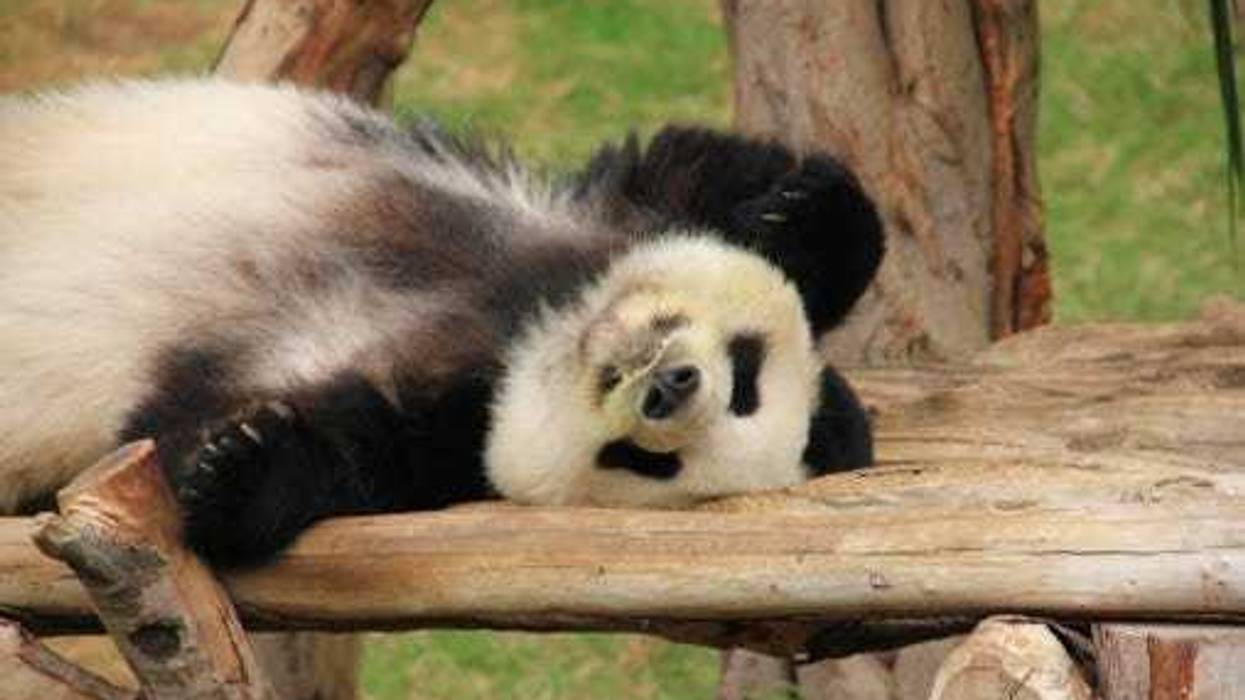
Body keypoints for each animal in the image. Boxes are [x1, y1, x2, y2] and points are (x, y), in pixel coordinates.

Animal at [0, 79, 883, 565]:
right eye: (746, 377)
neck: (520, 331)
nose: (668, 389)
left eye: (650, 464)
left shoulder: (436, 441)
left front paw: (233, 467)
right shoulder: (600, 204)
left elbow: (325, 454)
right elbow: (692, 165)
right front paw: (797, 214)